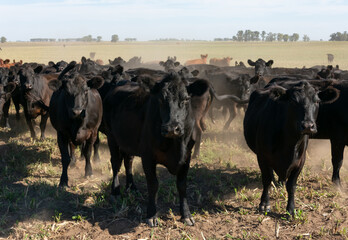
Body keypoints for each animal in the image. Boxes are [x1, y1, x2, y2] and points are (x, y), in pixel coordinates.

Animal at [103, 73, 223, 227]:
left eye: (186, 99)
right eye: (160, 99)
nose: (171, 128)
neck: (175, 145)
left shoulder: (186, 157)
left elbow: (182, 185)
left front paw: (186, 215)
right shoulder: (148, 157)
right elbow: (153, 184)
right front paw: (152, 215)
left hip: (128, 142)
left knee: (128, 161)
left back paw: (132, 187)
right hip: (111, 137)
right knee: (115, 163)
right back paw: (115, 192)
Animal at [243, 80, 338, 214]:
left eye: (317, 101)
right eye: (293, 101)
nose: (308, 126)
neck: (289, 143)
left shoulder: (300, 161)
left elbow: (292, 185)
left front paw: (291, 209)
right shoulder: (262, 157)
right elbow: (266, 180)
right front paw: (264, 204)